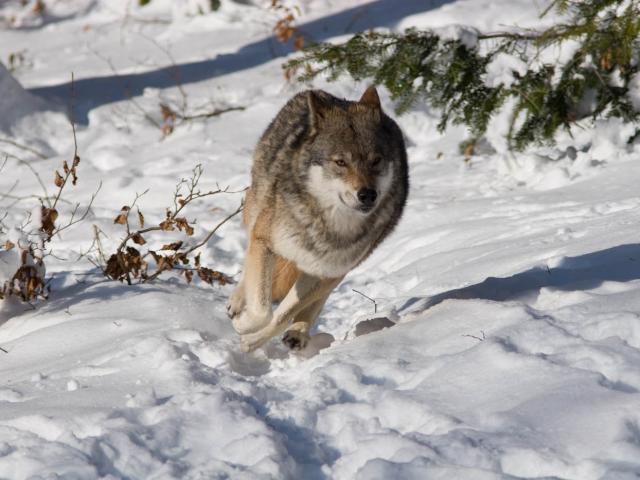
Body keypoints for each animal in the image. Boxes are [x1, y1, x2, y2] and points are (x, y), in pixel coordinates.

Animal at [228, 87, 408, 352]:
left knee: (311, 304)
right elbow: (262, 309)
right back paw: (237, 303)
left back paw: (299, 333)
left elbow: (280, 317)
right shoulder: (264, 241)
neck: (326, 224)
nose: (367, 194)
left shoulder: (324, 271)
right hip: (255, 207)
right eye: (341, 162)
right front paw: (244, 325)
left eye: (376, 161)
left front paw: (250, 340)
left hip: (336, 272)